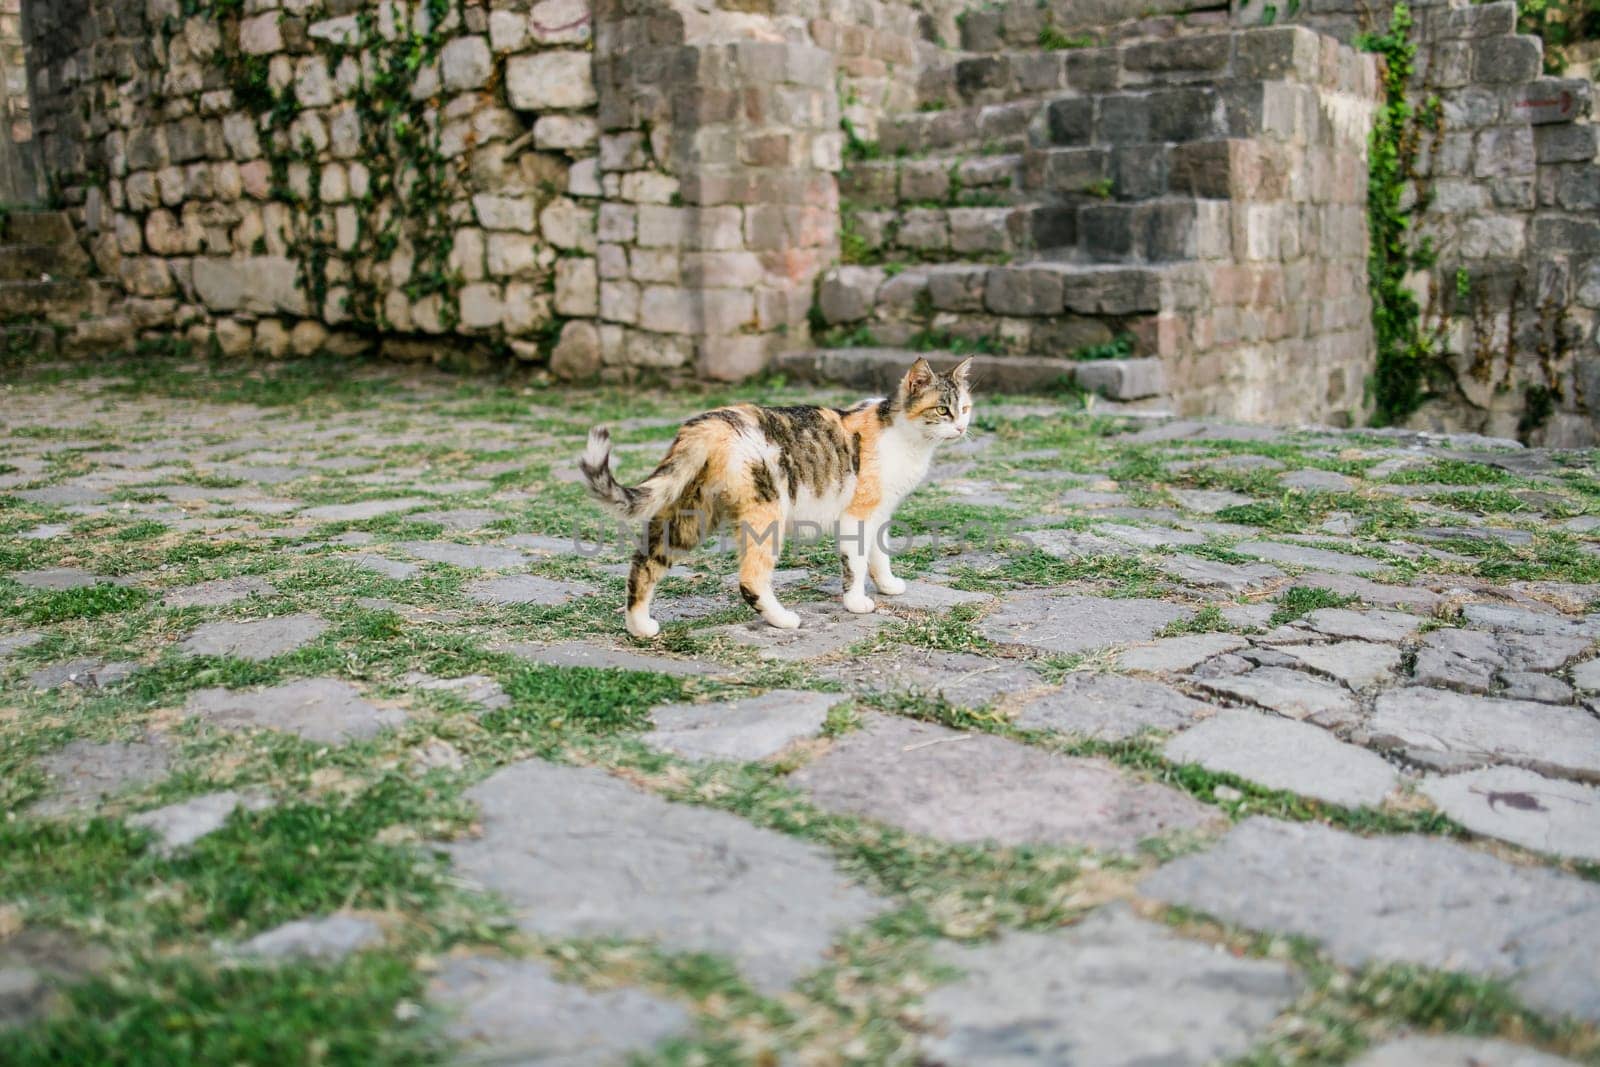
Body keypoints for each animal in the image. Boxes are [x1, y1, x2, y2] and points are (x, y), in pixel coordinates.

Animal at [582, 363, 966, 639]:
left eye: (965, 408)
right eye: (942, 410)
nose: (962, 428)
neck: (904, 435)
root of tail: (709, 422)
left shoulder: (879, 513)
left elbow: (878, 555)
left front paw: (887, 586)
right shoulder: (857, 515)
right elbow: (855, 563)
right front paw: (857, 602)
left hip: (691, 513)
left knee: (645, 561)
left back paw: (640, 627)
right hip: (767, 514)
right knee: (751, 579)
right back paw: (782, 619)